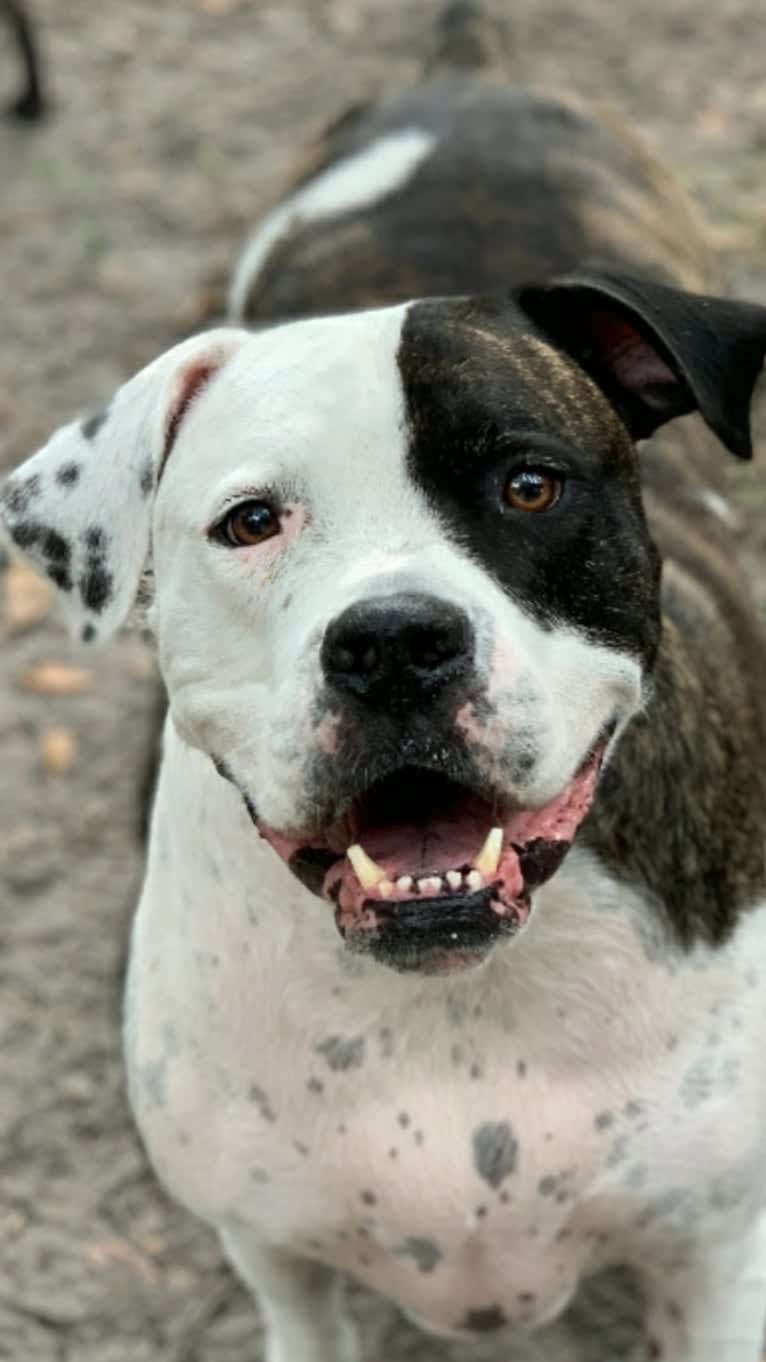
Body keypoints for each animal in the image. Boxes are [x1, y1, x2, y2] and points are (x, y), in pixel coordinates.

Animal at [1, 2, 763, 1362]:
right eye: (251, 522)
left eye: (529, 484)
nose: (395, 641)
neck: (456, 996)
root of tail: (463, 70)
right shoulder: (280, 1263)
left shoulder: (716, 1260)